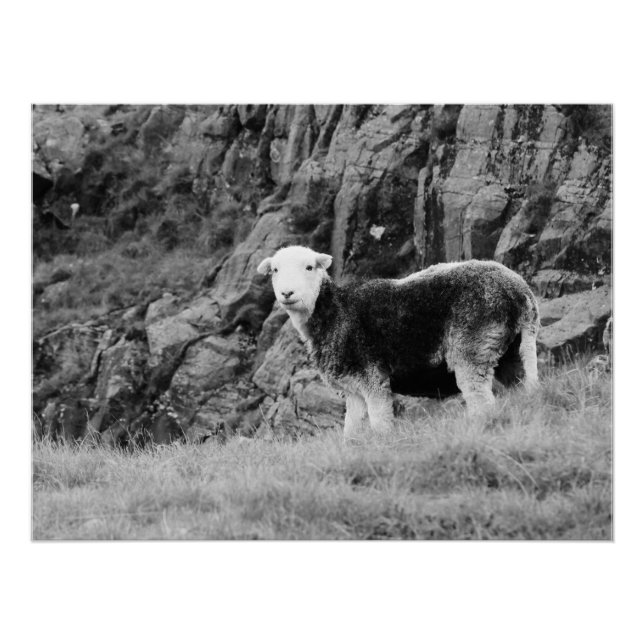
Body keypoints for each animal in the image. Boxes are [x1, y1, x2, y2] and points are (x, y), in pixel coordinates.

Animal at [257, 245, 540, 439]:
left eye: (309, 267)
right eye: (275, 270)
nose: (287, 293)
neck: (332, 311)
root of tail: (518, 292)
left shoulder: (371, 376)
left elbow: (380, 423)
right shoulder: (352, 387)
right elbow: (352, 430)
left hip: (474, 344)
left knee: (482, 402)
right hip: (517, 346)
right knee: (525, 387)